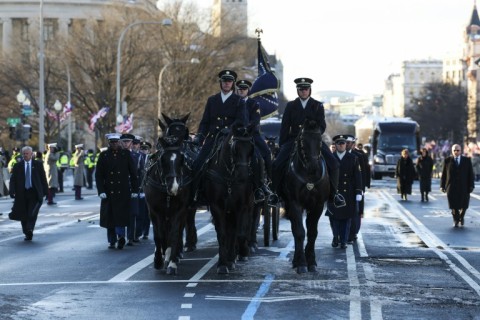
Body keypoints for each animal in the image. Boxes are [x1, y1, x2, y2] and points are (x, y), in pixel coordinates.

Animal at [202, 122, 255, 276]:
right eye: (235, 148)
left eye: (251, 148)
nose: (244, 176)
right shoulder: (217, 206)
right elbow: (222, 234)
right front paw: (222, 264)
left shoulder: (240, 206)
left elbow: (238, 232)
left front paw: (233, 258)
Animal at [282, 119, 330, 274]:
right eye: (303, 140)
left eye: (320, 140)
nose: (313, 167)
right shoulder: (295, 203)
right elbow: (300, 232)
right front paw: (302, 263)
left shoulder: (318, 205)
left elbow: (312, 232)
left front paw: (312, 262)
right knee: (294, 229)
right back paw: (296, 261)